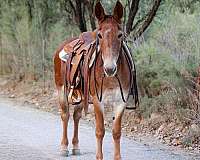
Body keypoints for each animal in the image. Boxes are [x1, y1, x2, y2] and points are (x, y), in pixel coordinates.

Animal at [53, 1, 138, 160]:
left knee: (76, 116)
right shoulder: (98, 100)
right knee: (65, 115)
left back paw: (76, 146)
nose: (110, 68)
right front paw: (99, 156)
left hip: (81, 93)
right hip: (61, 89)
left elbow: (116, 132)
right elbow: (100, 130)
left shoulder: (120, 101)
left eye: (120, 34)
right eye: (99, 35)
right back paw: (64, 147)